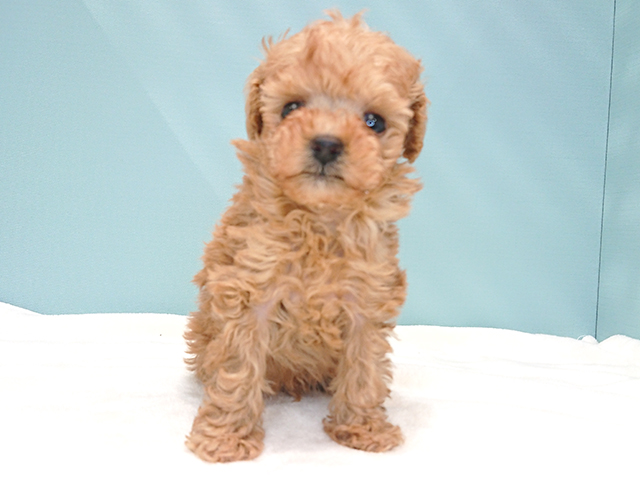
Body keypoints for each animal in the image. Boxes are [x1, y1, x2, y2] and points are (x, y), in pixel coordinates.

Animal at [184, 10, 427, 462]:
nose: (327, 144)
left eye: (374, 122)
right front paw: (225, 438)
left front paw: (363, 428)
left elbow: (365, 368)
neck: (319, 220)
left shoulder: (367, 298)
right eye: (291, 107)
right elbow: (237, 369)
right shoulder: (249, 291)